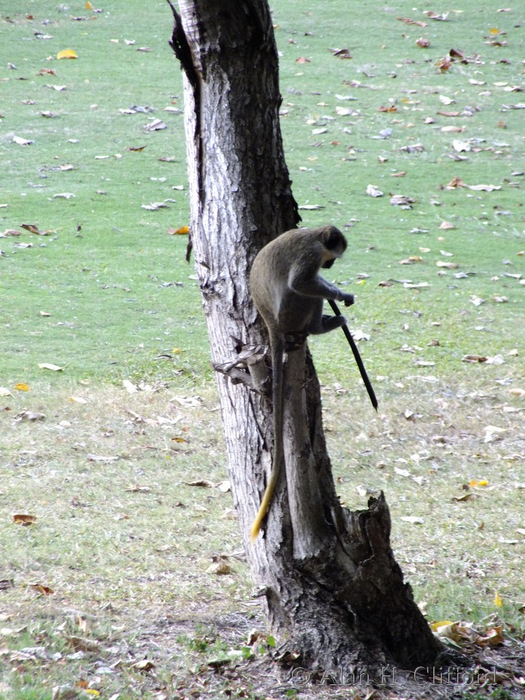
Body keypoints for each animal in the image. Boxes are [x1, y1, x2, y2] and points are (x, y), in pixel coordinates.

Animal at [249, 225, 354, 542]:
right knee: (303, 293)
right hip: (291, 313)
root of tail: (271, 322)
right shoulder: (310, 255)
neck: (316, 235)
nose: (329, 267)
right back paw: (318, 327)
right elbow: (301, 283)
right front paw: (335, 292)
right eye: (331, 258)